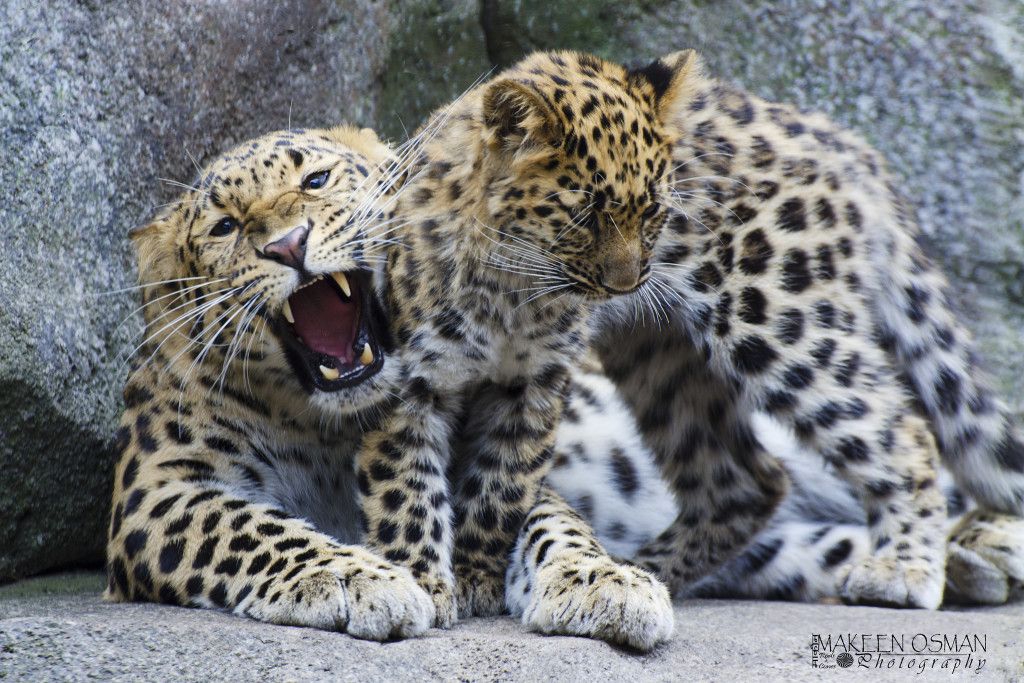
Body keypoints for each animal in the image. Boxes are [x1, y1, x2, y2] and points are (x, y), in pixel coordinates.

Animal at [579, 49, 1024, 609]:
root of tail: (838, 135)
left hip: (772, 313)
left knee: (902, 431)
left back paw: (901, 570)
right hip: (655, 345)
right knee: (741, 482)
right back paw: (641, 570)